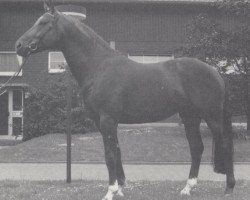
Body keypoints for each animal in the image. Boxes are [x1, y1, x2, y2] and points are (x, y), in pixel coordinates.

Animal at [15, 0, 234, 199]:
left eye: (43, 22)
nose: (19, 45)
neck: (99, 66)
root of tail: (215, 72)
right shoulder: (103, 121)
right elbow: (117, 151)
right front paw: (120, 188)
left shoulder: (107, 120)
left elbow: (110, 154)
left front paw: (110, 191)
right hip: (190, 117)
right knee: (197, 148)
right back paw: (187, 188)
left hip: (212, 117)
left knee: (223, 143)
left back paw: (229, 188)